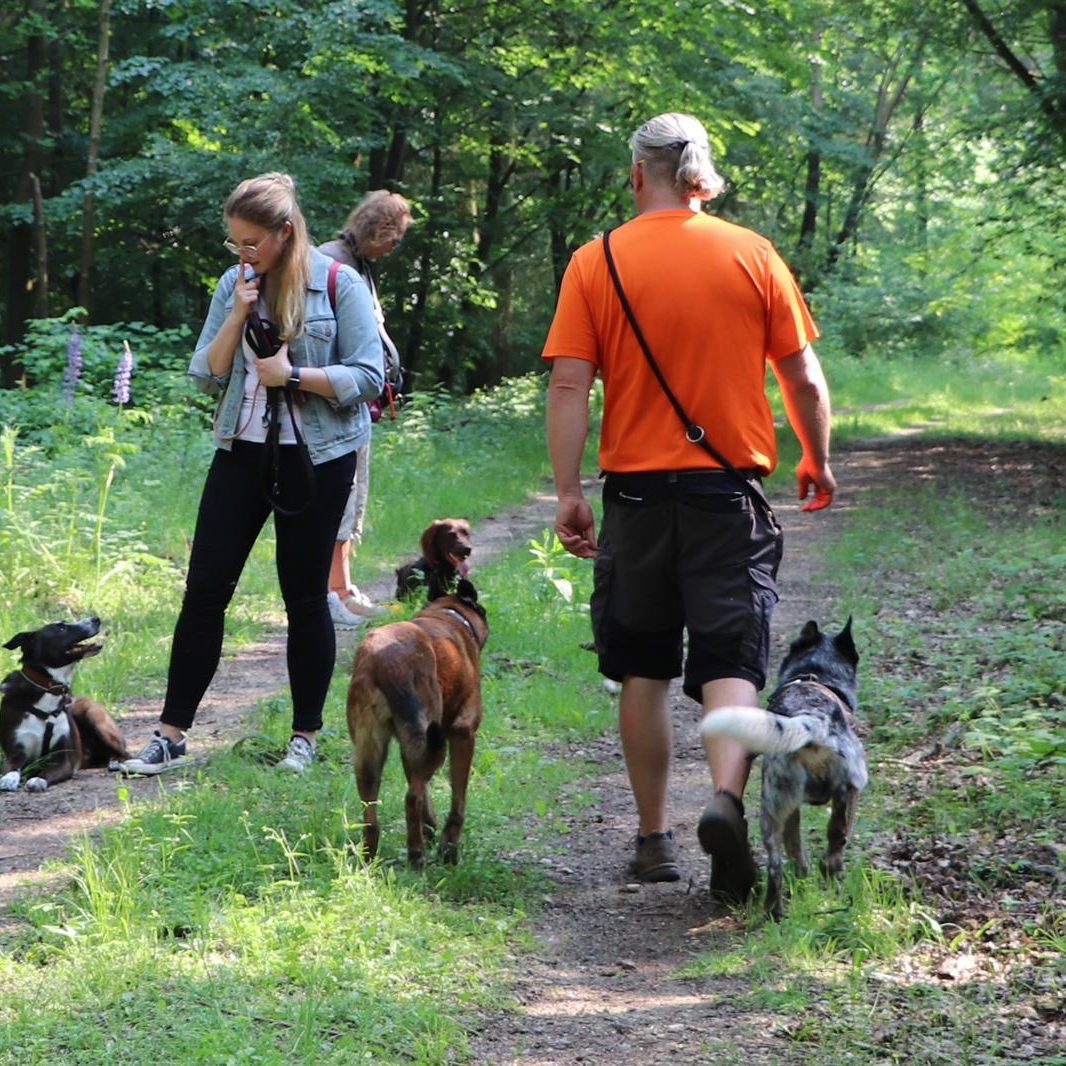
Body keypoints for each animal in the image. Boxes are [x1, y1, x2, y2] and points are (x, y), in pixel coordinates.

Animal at [345, 575, 488, 865]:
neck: (450, 616)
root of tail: (380, 661)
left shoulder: (413, 746)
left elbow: (425, 791)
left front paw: (430, 829)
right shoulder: (462, 734)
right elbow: (457, 802)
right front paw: (448, 847)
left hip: (370, 752)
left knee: (371, 812)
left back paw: (371, 856)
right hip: (434, 742)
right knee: (411, 798)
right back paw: (416, 854)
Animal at [699, 622, 865, 921]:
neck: (815, 674)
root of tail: (811, 722)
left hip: (779, 807)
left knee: (788, 861)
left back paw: (777, 910)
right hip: (811, 799)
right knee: (819, 853)